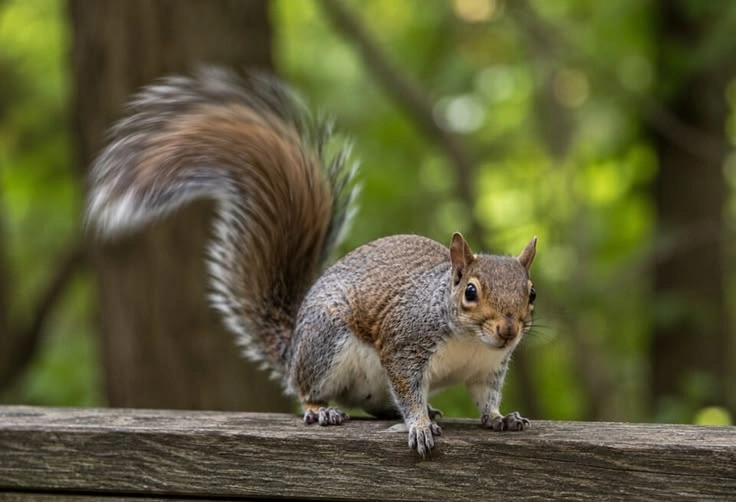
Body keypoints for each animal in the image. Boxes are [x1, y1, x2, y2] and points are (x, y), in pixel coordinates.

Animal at [86, 67, 538, 457]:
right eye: (470, 291)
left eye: (531, 294)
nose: (508, 330)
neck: (468, 342)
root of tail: (293, 353)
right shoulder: (404, 344)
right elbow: (408, 390)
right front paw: (419, 425)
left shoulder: (488, 369)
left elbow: (486, 398)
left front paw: (500, 418)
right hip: (326, 345)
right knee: (309, 390)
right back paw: (323, 411)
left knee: (375, 404)